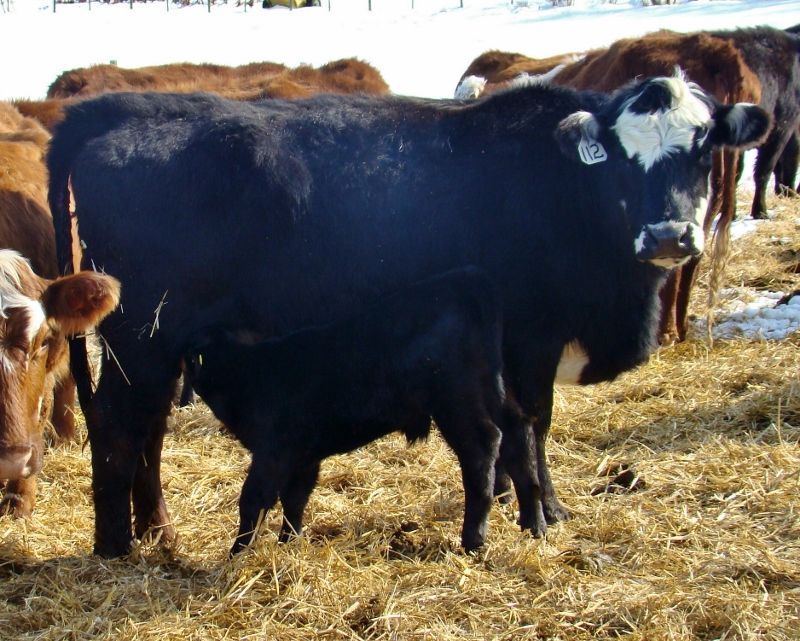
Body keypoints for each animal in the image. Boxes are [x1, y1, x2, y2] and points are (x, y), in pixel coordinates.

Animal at [183, 266, 507, 554]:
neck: (249, 371)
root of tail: (464, 277)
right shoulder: (304, 456)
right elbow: (295, 499)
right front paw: (289, 542)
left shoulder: (272, 451)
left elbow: (253, 500)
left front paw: (236, 553)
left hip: (456, 403)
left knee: (482, 450)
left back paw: (473, 539)